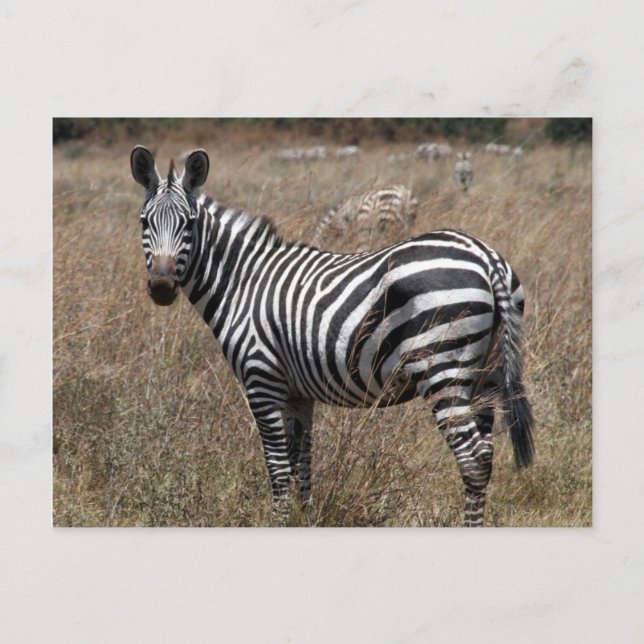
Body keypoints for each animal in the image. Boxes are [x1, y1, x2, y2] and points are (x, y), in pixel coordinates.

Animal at [130, 145, 534, 527]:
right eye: (144, 222)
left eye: (189, 224)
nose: (162, 287)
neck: (243, 282)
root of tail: (485, 256)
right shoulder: (297, 393)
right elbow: (302, 467)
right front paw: (302, 520)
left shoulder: (262, 380)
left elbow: (278, 469)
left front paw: (280, 522)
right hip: (485, 375)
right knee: (485, 455)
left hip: (443, 367)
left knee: (472, 459)